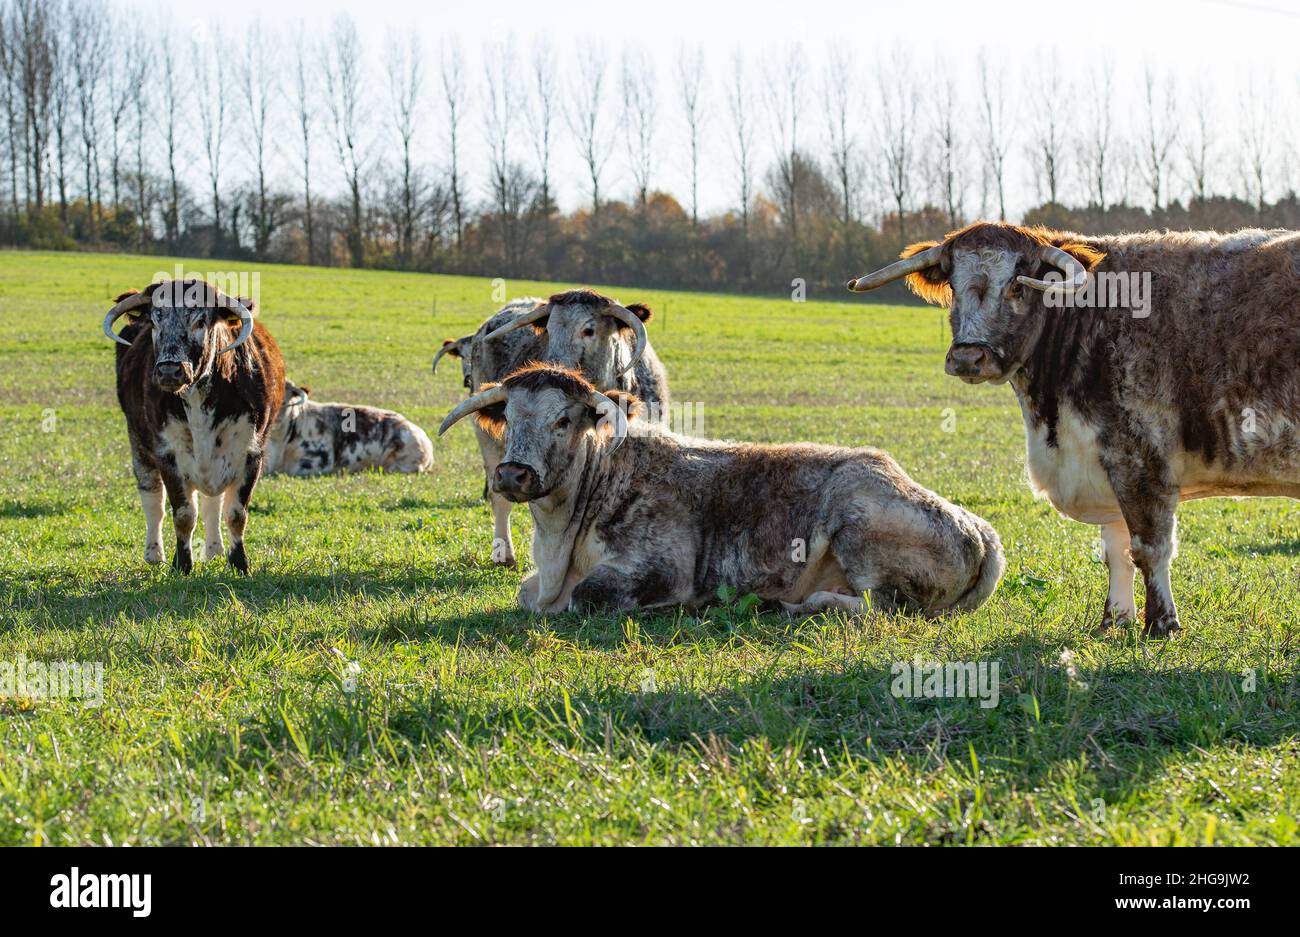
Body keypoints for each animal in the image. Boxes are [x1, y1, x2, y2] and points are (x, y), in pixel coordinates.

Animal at [104, 278, 285, 575]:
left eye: (200, 321)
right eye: (155, 321)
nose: (169, 370)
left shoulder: (251, 454)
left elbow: (235, 513)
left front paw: (239, 563)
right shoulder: (166, 455)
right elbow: (183, 514)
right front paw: (182, 563)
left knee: (213, 503)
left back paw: (214, 549)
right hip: (139, 447)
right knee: (153, 500)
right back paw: (154, 553)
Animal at [432, 290, 670, 566]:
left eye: (588, 329)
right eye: (549, 331)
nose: (552, 368)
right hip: (489, 443)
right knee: (499, 498)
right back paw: (504, 553)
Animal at [437, 364, 1004, 617]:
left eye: (562, 420)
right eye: (509, 417)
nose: (512, 474)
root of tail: (979, 527)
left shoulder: (664, 567)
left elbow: (589, 595)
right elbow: (525, 593)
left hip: (858, 525)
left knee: (878, 607)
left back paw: (800, 604)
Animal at [846, 222, 1300, 636]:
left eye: (1017, 288)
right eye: (954, 285)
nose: (968, 357)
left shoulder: (1139, 458)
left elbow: (1149, 548)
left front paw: (1162, 623)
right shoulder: (1104, 462)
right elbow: (1116, 550)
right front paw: (1114, 621)